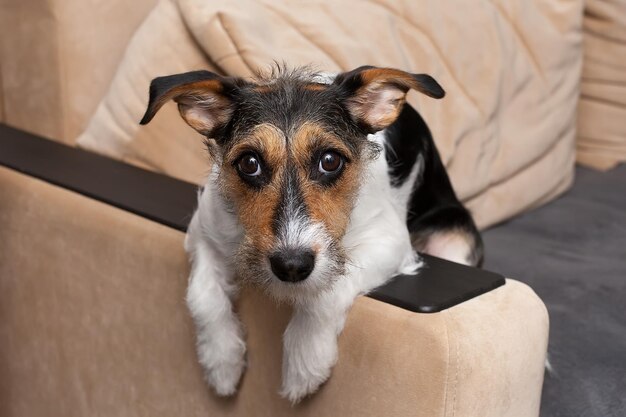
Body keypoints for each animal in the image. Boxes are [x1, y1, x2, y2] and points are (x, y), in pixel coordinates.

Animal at [140, 65, 482, 404]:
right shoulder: (203, 232)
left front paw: (304, 361)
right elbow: (201, 295)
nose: (291, 266)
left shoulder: (389, 242)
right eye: (249, 163)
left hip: (454, 239)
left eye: (330, 161)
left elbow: (326, 292)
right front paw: (220, 362)